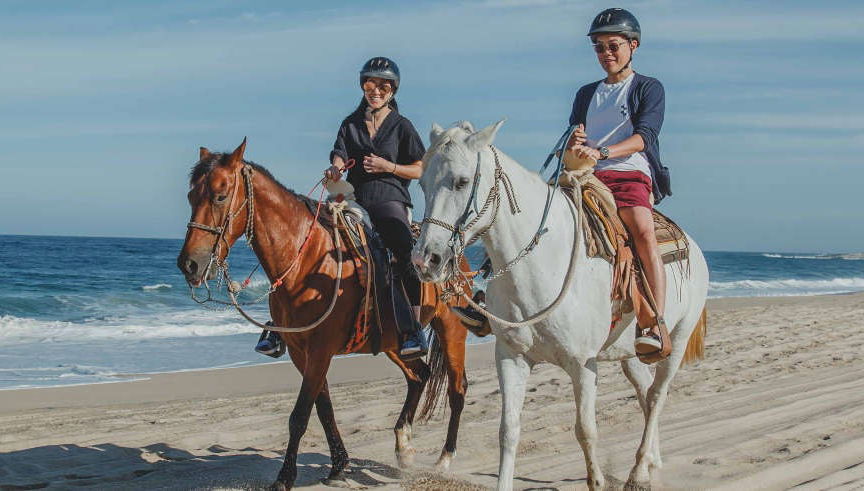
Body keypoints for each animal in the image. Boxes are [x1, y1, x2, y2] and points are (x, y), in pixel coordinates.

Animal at [176, 139, 473, 489]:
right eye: (191, 197)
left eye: (220, 196)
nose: (189, 264)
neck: (305, 259)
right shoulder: (300, 351)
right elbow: (323, 408)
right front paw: (339, 465)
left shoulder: (321, 348)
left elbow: (300, 414)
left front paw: (285, 477)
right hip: (393, 342)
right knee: (420, 375)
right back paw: (404, 446)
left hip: (451, 330)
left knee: (457, 390)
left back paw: (445, 459)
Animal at [412, 121, 709, 490]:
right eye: (422, 183)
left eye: (462, 181)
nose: (425, 260)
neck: (543, 261)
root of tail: (694, 247)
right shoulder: (511, 357)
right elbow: (508, 431)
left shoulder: (583, 365)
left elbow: (586, 431)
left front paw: (597, 481)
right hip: (628, 352)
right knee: (643, 389)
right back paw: (652, 461)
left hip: (677, 341)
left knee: (657, 395)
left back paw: (639, 471)